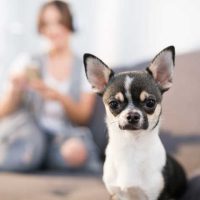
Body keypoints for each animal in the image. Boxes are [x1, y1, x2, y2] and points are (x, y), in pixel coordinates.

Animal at [83, 46, 187, 199]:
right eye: (113, 104)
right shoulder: (115, 194)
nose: (132, 115)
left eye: (150, 103)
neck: (131, 145)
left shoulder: (157, 195)